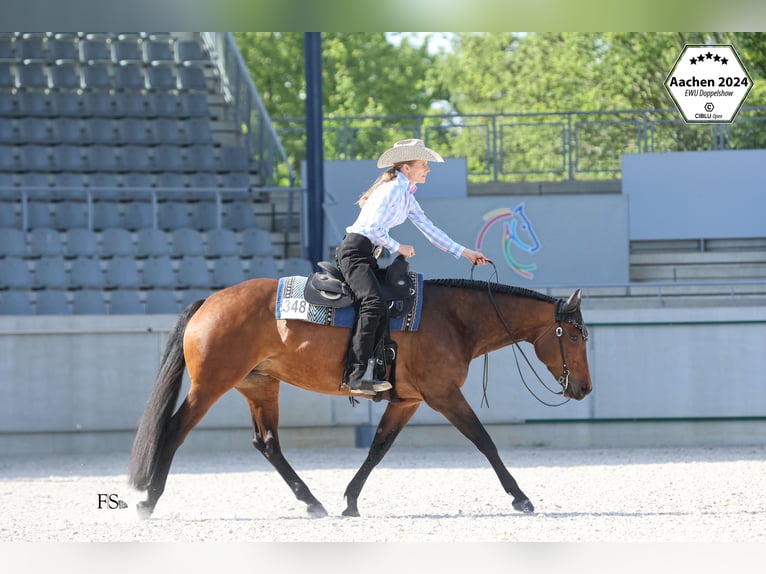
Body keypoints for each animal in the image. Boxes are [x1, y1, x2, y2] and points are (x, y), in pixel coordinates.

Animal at [128, 273, 592, 519]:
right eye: (573, 335)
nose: (585, 387)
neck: (453, 318)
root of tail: (210, 301)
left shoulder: (407, 402)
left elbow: (377, 449)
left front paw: (350, 499)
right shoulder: (444, 394)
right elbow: (485, 442)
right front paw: (520, 496)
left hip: (259, 386)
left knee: (268, 443)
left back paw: (312, 501)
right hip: (211, 385)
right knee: (174, 430)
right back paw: (149, 499)